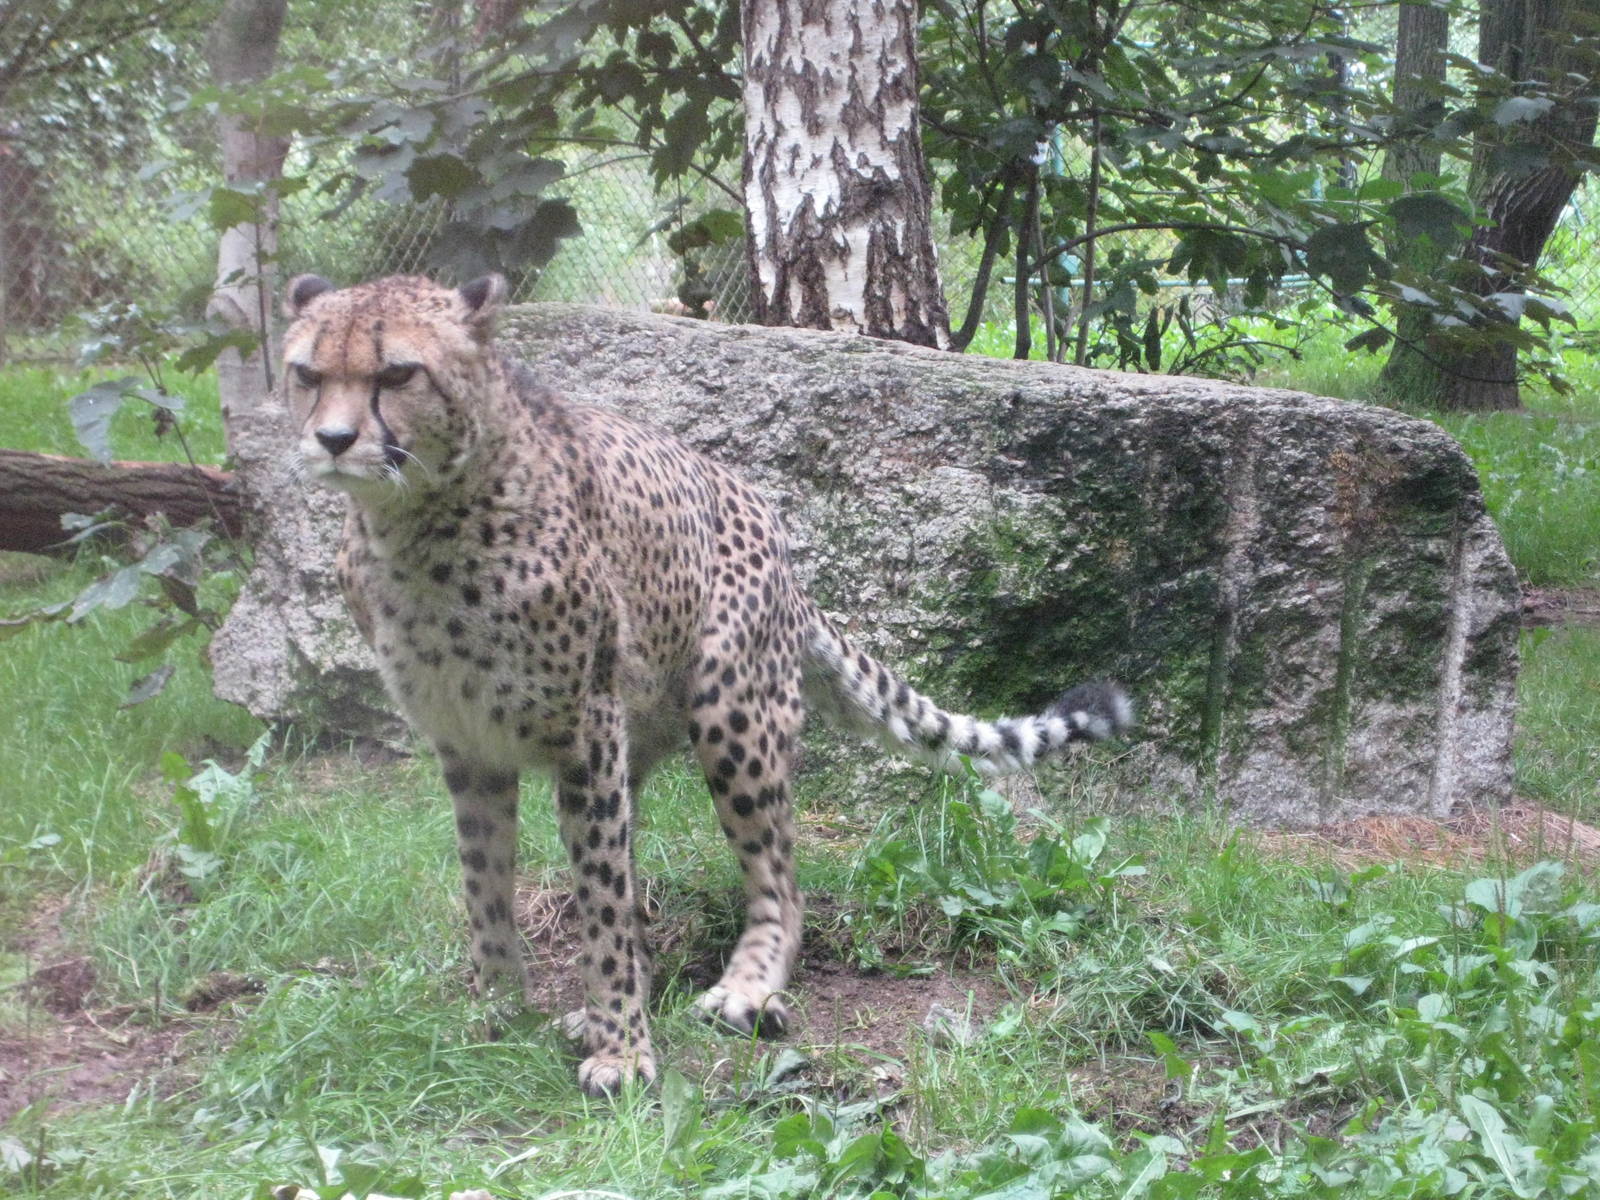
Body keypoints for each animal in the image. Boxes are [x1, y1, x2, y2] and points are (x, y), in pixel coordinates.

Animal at [281, 271, 1133, 1096]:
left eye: (398, 373)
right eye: (307, 374)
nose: (333, 440)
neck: (419, 522)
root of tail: (777, 534)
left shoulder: (586, 726)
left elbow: (598, 896)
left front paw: (624, 1053)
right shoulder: (468, 740)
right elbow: (486, 881)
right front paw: (497, 1011)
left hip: (731, 709)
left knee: (778, 881)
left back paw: (743, 991)